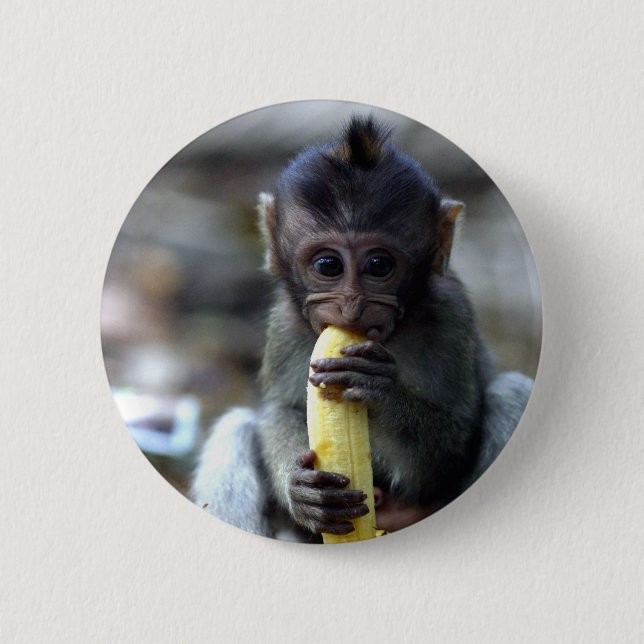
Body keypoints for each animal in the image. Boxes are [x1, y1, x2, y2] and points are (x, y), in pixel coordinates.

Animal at [192, 116, 533, 541]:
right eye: (327, 265)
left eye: (379, 265)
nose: (352, 307)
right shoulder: (285, 326)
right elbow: (280, 410)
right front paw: (298, 486)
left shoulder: (451, 318)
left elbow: (450, 451)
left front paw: (379, 389)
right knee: (234, 426)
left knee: (511, 391)